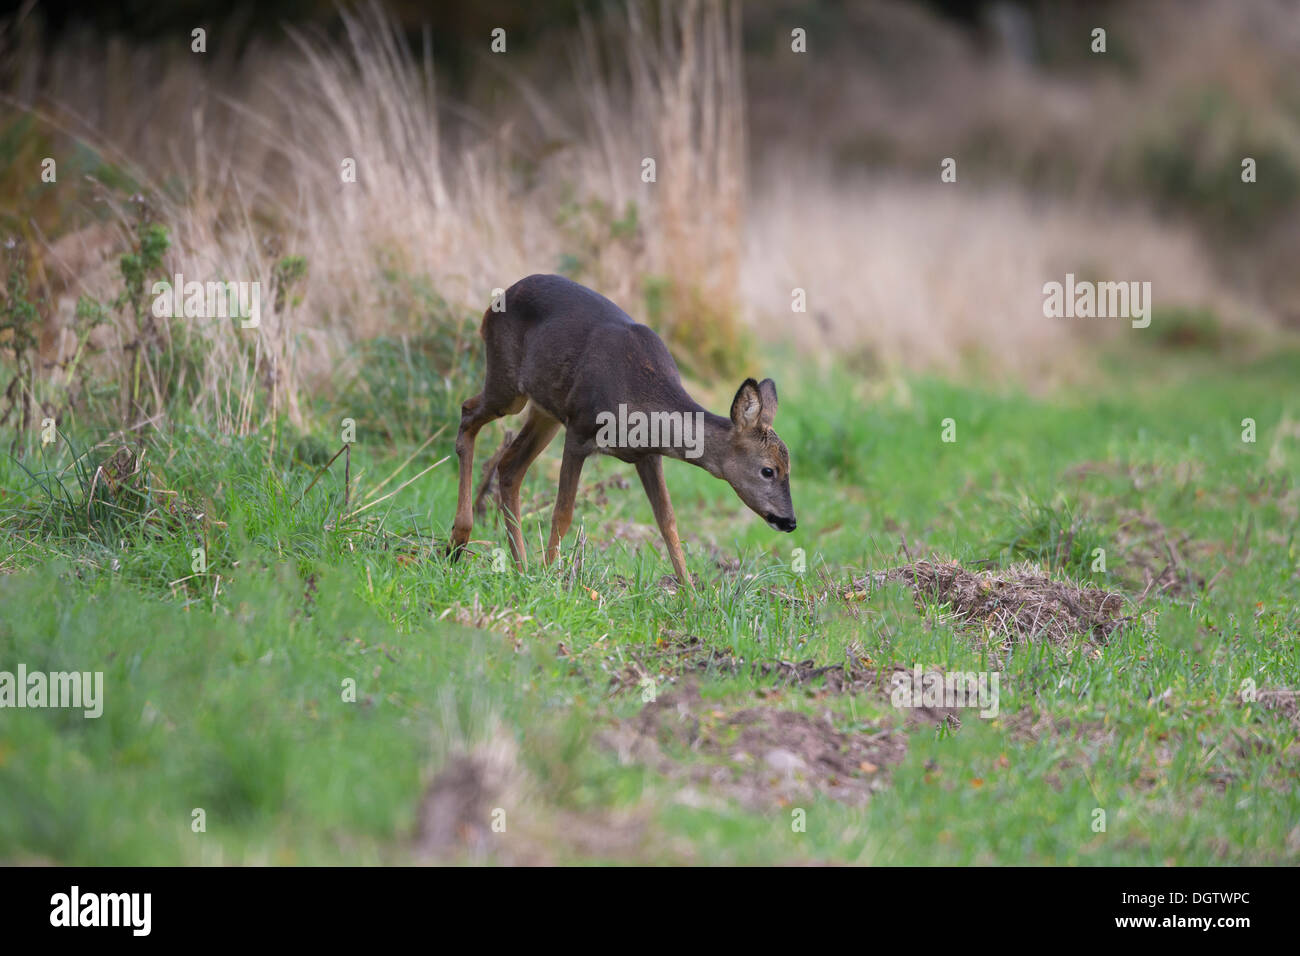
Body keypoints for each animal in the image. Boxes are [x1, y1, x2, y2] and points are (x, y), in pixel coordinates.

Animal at [447, 273, 790, 580]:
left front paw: (691, 596)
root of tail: (493, 304)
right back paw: (459, 541)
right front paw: (548, 576)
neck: (641, 401)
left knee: (509, 466)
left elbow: (668, 521)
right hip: (508, 386)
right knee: (467, 412)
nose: (790, 521)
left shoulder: (648, 454)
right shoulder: (580, 429)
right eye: (768, 470)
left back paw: (519, 567)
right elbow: (563, 512)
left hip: (546, 411)